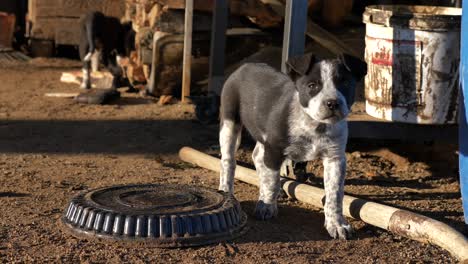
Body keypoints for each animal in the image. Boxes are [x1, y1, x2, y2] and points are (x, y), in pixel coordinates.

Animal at [218, 52, 368, 239]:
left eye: (345, 83)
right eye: (312, 85)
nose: (333, 103)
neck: (315, 125)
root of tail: (245, 65)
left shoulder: (335, 158)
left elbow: (335, 194)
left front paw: (337, 224)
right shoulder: (274, 150)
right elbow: (271, 181)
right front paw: (266, 206)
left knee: (257, 155)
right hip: (230, 122)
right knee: (228, 161)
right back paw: (226, 191)